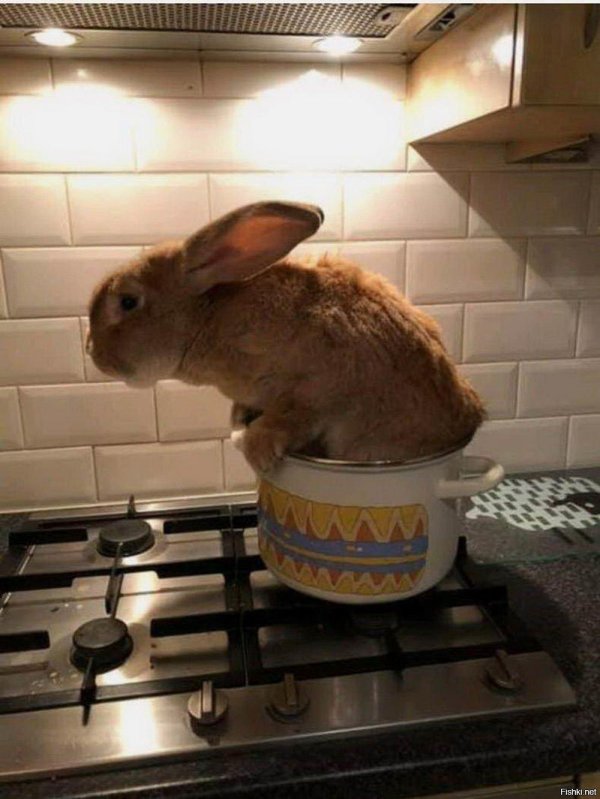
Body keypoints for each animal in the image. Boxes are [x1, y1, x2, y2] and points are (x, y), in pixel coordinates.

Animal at [87, 200, 485, 473]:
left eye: (127, 301)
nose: (93, 353)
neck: (209, 317)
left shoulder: (318, 390)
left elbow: (287, 419)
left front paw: (253, 447)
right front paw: (240, 420)